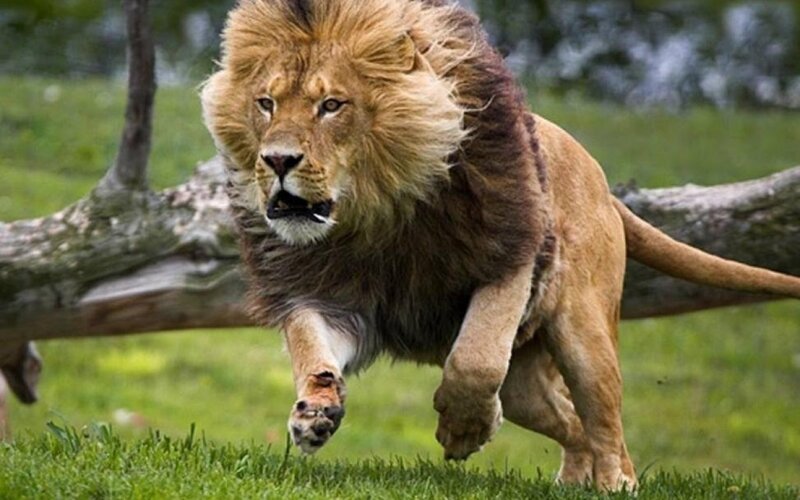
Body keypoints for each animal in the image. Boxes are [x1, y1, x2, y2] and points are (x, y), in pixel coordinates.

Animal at [201, 0, 800, 490]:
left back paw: (614, 483)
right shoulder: (325, 295)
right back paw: (572, 480)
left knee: (605, 421)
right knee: (569, 419)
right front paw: (314, 413)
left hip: (585, 334)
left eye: (331, 105)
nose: (277, 160)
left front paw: (466, 430)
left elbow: (476, 359)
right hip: (528, 386)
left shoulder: (509, 258)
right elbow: (311, 350)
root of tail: (604, 183)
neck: (374, 216)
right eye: (265, 103)